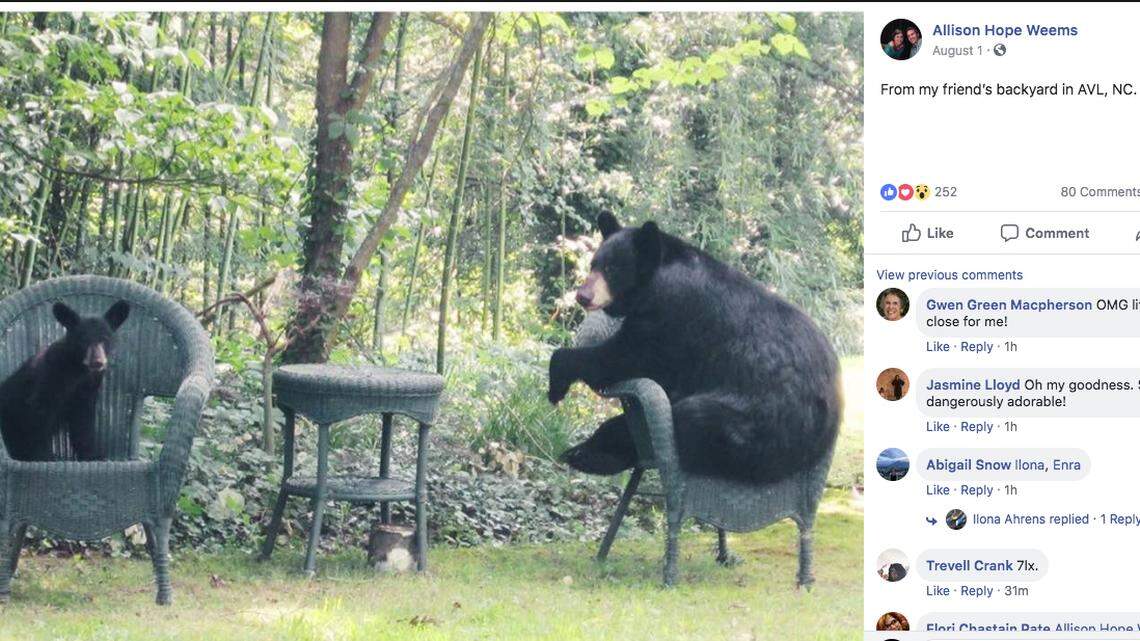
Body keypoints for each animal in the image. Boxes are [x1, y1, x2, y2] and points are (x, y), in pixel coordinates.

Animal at [0, 300, 130, 462]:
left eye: (105, 339)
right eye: (83, 340)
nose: (97, 362)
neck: (77, 371)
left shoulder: (87, 389)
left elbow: (83, 422)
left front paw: (92, 454)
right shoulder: (49, 378)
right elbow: (38, 416)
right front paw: (42, 455)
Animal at [548, 212, 841, 484]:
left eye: (612, 269)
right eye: (594, 264)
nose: (583, 296)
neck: (656, 279)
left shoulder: (672, 315)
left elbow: (625, 358)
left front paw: (556, 385)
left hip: (758, 421)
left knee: (692, 420)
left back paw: (591, 455)